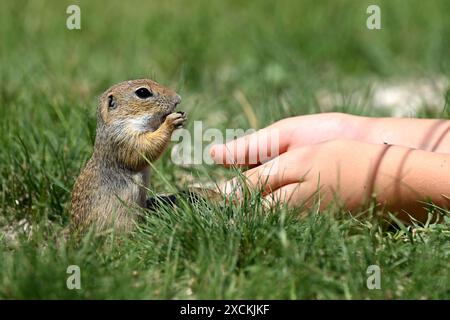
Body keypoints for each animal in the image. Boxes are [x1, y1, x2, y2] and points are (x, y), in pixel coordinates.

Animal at [71, 78, 187, 232]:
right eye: (143, 92)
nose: (178, 98)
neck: (123, 121)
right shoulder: (124, 140)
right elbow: (146, 148)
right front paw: (171, 122)